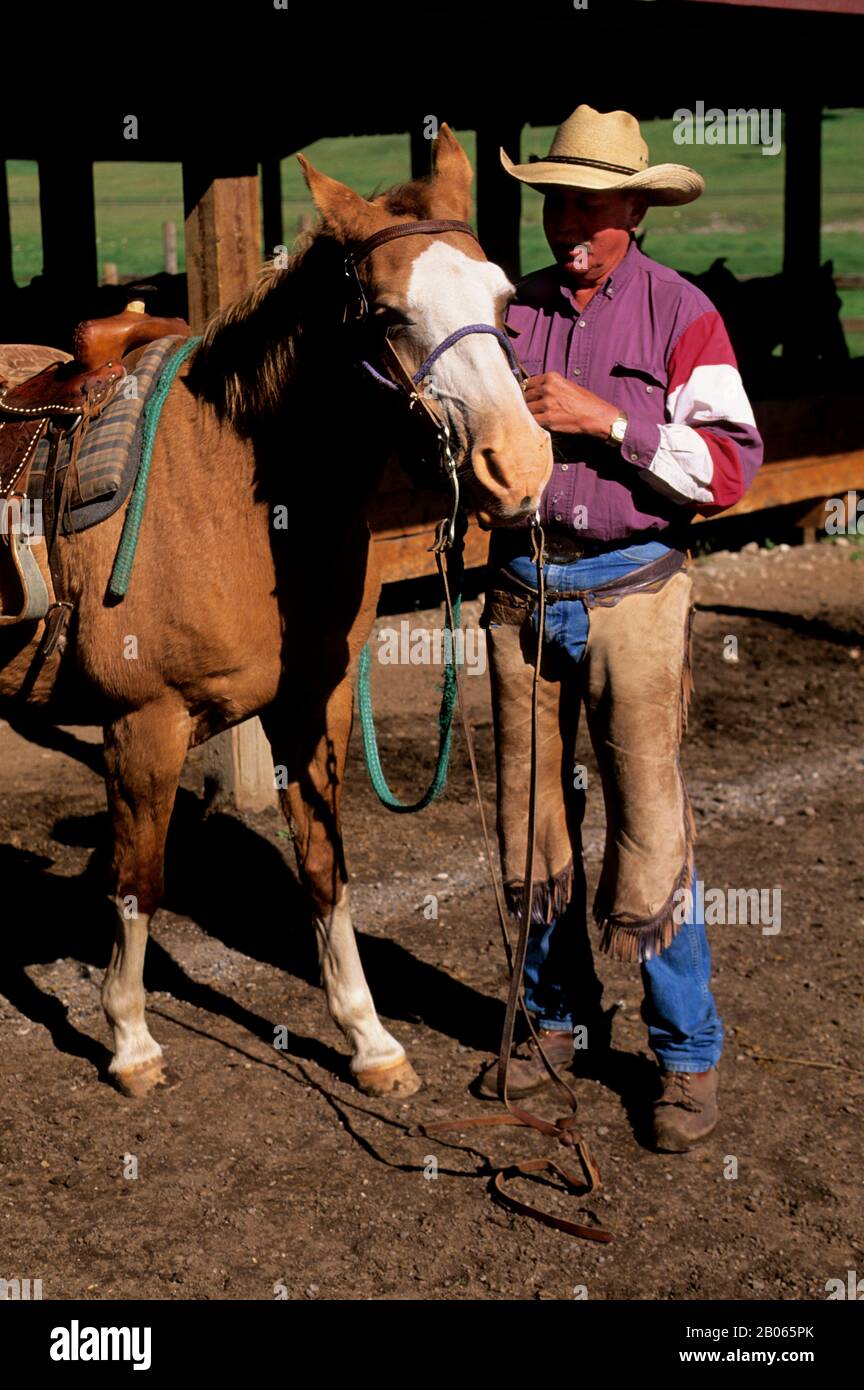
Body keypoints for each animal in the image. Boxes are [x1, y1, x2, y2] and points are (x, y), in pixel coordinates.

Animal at [0, 125, 552, 1101]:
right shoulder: (142, 725)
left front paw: (370, 1041)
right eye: (387, 314)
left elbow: (325, 869)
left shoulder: (311, 705)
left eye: (505, 299)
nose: (517, 467)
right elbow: (140, 881)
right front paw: (130, 1041)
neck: (228, 496)